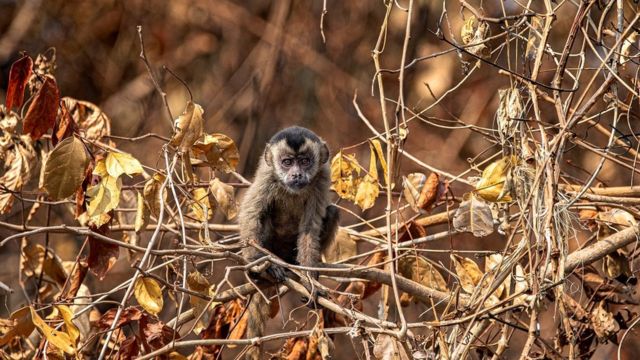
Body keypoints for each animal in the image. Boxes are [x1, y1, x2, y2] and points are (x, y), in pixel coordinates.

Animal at [238, 126, 340, 358]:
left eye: (304, 161)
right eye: (287, 162)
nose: (296, 174)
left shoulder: (322, 176)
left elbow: (310, 229)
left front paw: (310, 280)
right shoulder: (267, 176)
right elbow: (251, 213)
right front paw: (257, 263)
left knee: (332, 212)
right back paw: (264, 271)